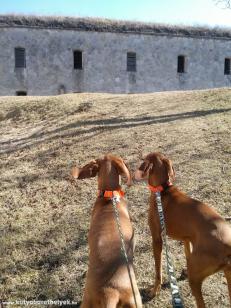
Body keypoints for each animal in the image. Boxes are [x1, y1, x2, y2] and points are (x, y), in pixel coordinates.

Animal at [134, 152, 231, 308]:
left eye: (145, 158)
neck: (163, 189)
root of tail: (227, 245)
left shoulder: (157, 239)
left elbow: (158, 271)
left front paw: (154, 290)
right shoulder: (187, 238)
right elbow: (187, 253)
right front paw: (183, 271)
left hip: (196, 277)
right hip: (228, 275)